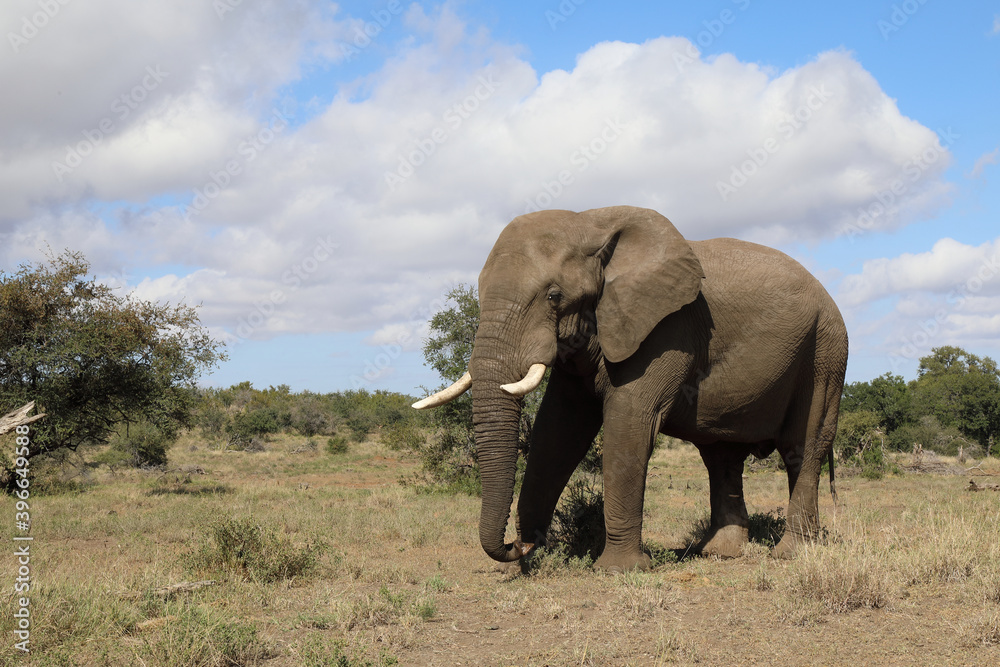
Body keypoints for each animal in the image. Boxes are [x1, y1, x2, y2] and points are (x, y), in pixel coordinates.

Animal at [414, 206, 848, 571]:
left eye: (554, 296)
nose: (516, 546)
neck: (592, 223)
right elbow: (558, 429)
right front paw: (528, 557)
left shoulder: (666, 328)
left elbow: (630, 420)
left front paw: (618, 570)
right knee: (721, 457)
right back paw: (719, 553)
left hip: (825, 351)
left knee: (802, 447)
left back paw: (791, 554)